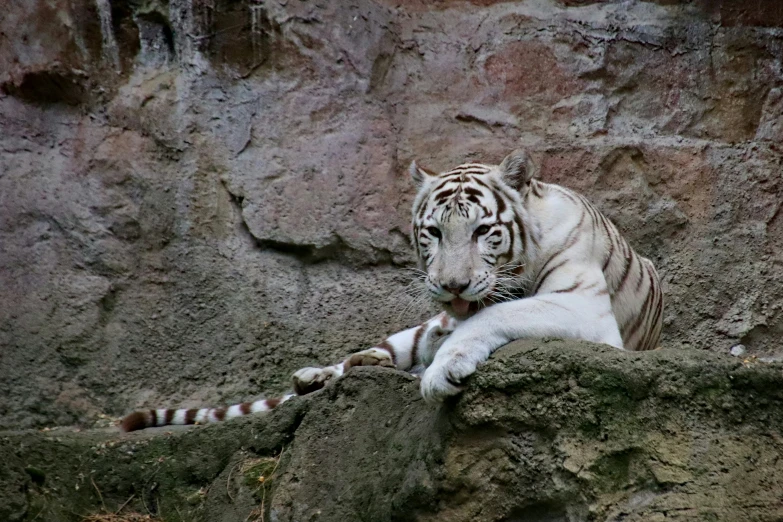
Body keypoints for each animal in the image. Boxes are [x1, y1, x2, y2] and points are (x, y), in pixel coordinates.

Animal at [121, 147, 660, 430]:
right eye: (435, 232)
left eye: (484, 231)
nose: (452, 284)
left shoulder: (584, 308)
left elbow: (496, 313)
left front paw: (443, 369)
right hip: (410, 330)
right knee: (370, 356)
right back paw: (319, 375)